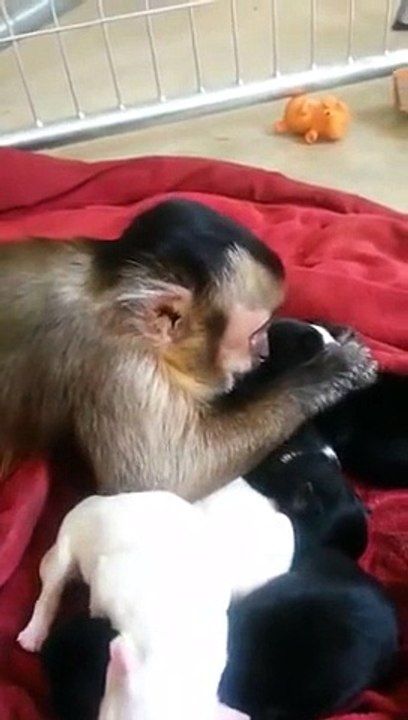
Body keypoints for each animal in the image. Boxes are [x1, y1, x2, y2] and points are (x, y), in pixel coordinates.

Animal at [0, 198, 377, 500]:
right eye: (255, 334)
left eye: (265, 331)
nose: (264, 353)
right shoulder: (119, 366)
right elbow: (157, 479)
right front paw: (326, 373)